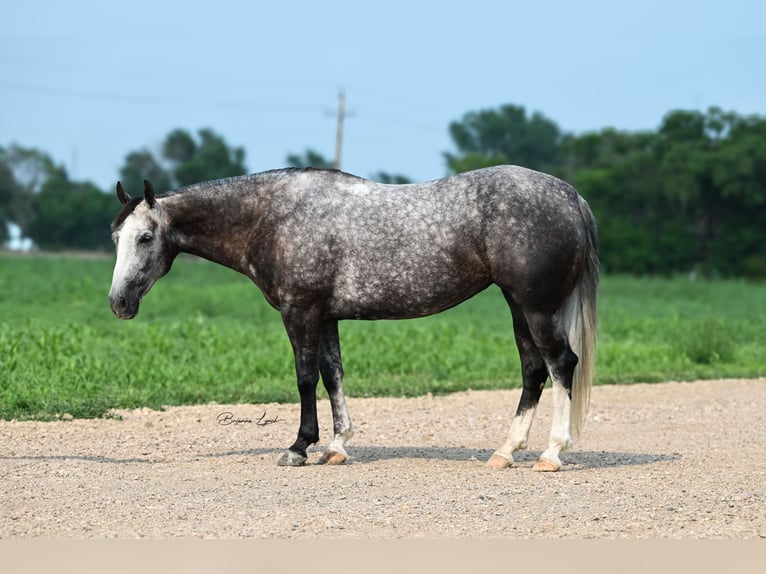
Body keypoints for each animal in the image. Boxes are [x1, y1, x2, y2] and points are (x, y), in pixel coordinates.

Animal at [108, 165, 600, 472]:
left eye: (146, 237)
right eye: (116, 237)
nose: (119, 302)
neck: (271, 216)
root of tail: (570, 194)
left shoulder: (300, 311)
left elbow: (305, 377)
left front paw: (299, 447)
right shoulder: (326, 317)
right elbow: (333, 375)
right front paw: (338, 446)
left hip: (537, 307)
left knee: (561, 365)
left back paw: (551, 454)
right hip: (518, 306)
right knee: (533, 370)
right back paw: (505, 452)